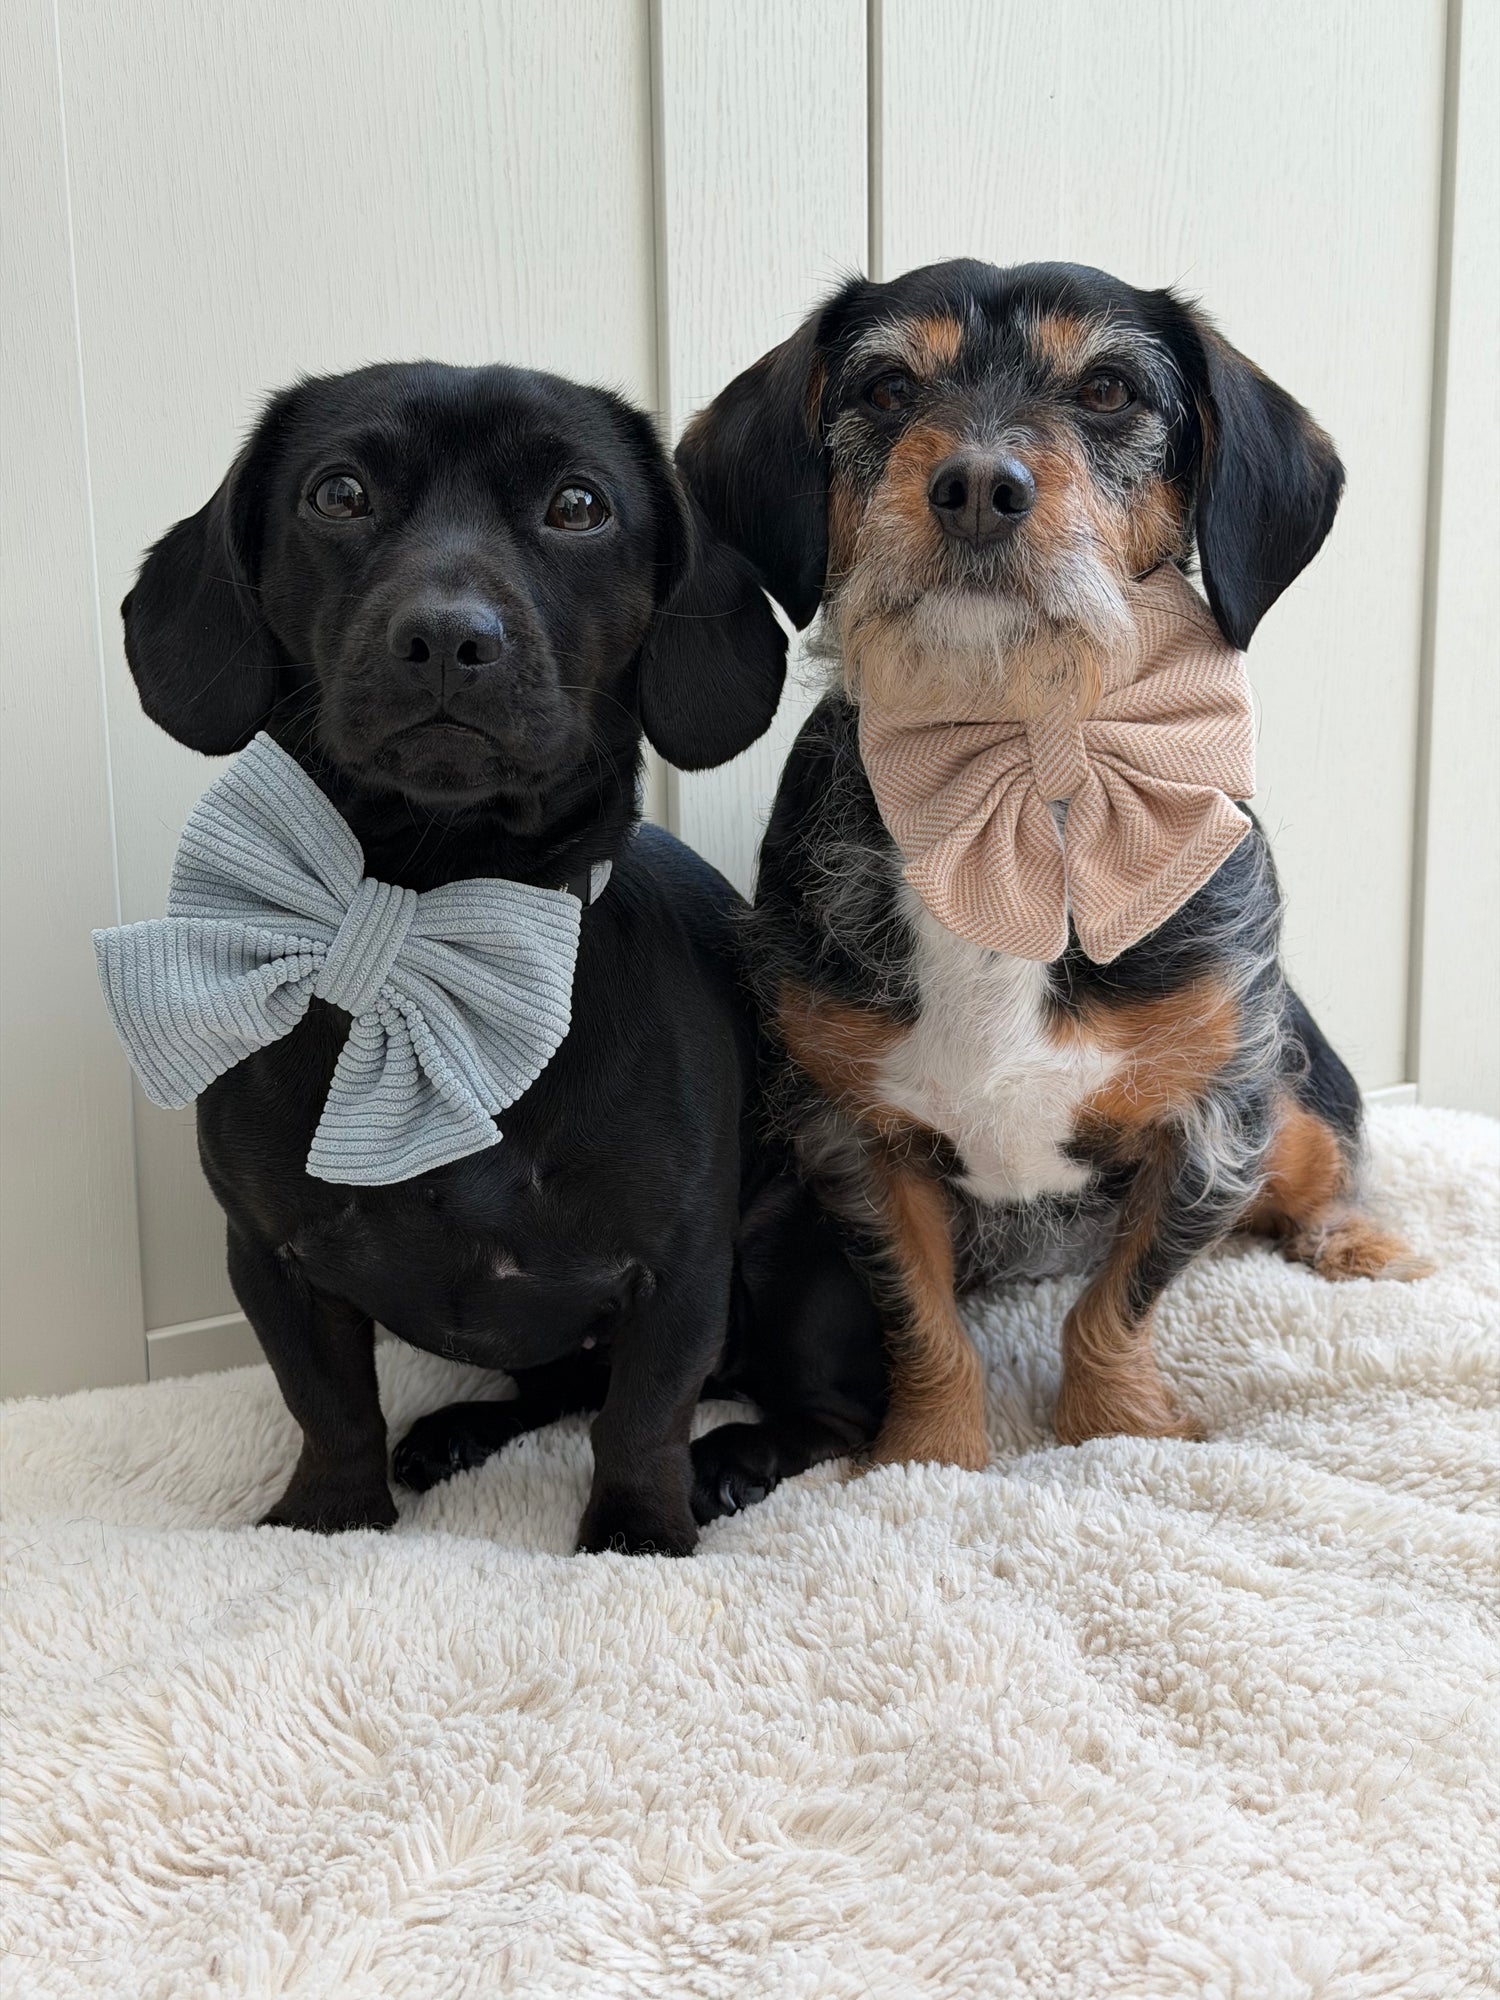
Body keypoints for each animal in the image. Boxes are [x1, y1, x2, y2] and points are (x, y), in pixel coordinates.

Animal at [122, 360, 885, 1552]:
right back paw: (460, 1431)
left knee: (826, 1413)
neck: (433, 908)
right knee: (559, 1386)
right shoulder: (271, 1256)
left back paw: (735, 1458)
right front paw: (329, 1517)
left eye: (579, 505)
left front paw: (636, 1533)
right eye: (337, 493)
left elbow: (646, 1414)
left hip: (798, 1265)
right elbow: (328, 1404)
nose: (447, 636)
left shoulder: (679, 1268)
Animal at [675, 259, 1428, 1469]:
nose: (981, 483)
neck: (1023, 766)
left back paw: (1359, 1243)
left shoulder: (1213, 1122)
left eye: (1112, 387)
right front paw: (927, 1456)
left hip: (1296, 1098)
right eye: (886, 387)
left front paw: (1117, 1427)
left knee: (1322, 1178)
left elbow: (1118, 1298)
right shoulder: (853, 1136)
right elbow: (921, 1316)